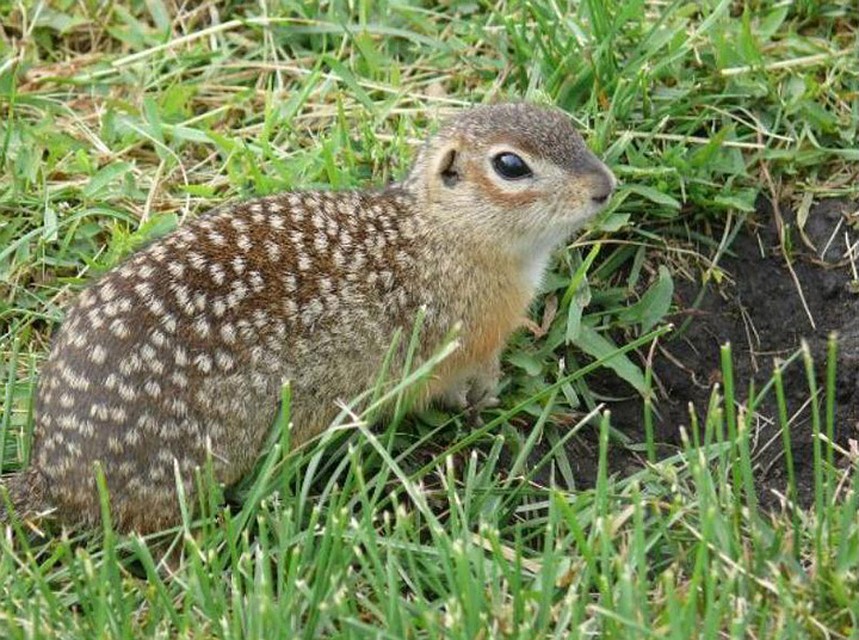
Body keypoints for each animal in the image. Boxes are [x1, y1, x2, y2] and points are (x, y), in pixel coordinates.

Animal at [1, 102, 620, 532]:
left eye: (567, 125)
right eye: (510, 164)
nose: (604, 186)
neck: (438, 232)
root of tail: (50, 474)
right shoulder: (457, 342)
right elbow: (461, 379)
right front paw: (485, 396)